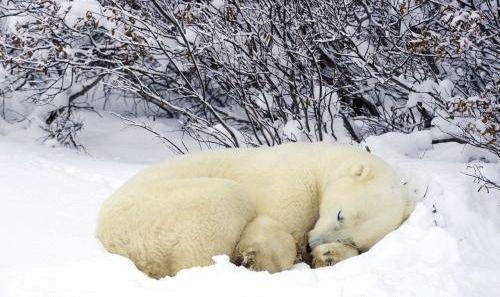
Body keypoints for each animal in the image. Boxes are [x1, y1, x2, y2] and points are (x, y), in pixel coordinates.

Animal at [95, 142, 412, 276]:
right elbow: (273, 223)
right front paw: (259, 257)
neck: (320, 162)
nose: (311, 244)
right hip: (161, 210)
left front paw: (329, 256)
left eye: (352, 239)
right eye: (339, 214)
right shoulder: (292, 182)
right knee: (225, 201)